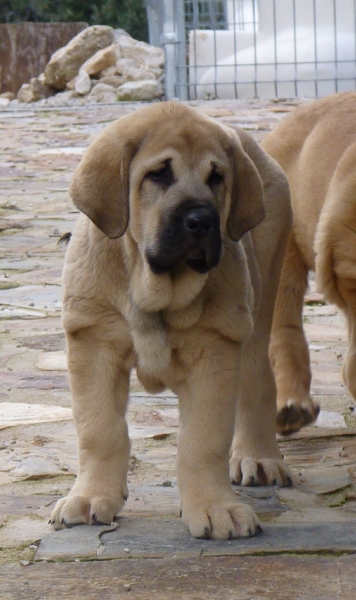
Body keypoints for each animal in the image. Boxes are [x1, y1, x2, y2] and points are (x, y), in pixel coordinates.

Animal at [49, 102, 292, 540]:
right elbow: (100, 430)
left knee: (258, 384)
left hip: (256, 312)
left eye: (217, 178)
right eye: (158, 174)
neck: (155, 288)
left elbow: (203, 441)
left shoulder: (215, 351)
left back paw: (258, 457)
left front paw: (214, 508)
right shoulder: (93, 344)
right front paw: (90, 497)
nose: (201, 220)